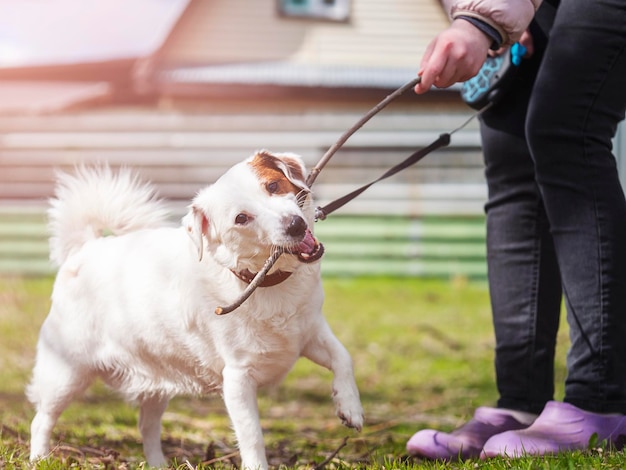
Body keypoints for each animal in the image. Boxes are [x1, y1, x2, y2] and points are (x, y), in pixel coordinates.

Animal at [26, 151, 364, 470]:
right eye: (242, 218)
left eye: (272, 186)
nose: (295, 225)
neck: (265, 281)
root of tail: (86, 249)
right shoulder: (238, 379)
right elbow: (252, 435)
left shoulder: (310, 333)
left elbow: (343, 358)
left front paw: (350, 407)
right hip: (65, 374)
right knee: (41, 419)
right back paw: (39, 458)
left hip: (155, 381)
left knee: (147, 426)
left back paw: (157, 464)